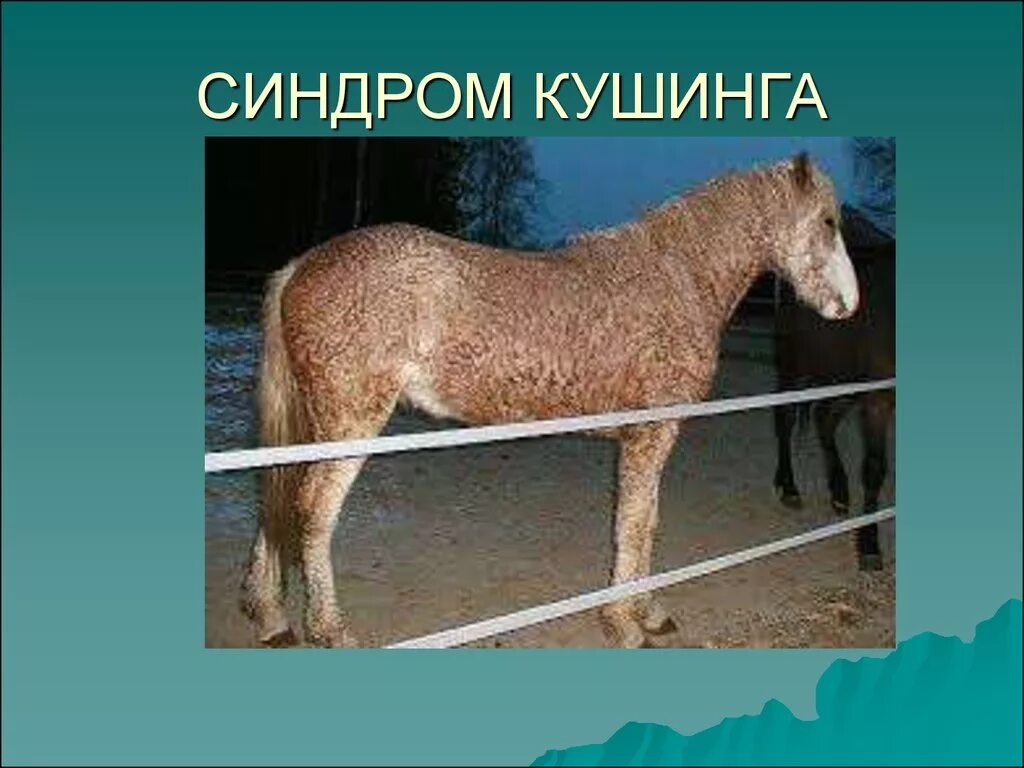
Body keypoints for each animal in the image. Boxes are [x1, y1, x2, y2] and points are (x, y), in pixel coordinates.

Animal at [241, 152, 860, 648]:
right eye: (828, 222)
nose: (850, 307)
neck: (677, 276)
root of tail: (301, 266)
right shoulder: (648, 437)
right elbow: (633, 524)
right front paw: (624, 624)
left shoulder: (654, 437)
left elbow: (648, 523)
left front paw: (648, 611)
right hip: (350, 422)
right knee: (311, 513)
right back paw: (330, 630)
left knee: (280, 503)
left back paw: (271, 616)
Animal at [772, 210, 895, 570]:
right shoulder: (878, 400)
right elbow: (874, 468)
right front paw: (869, 546)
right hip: (794, 370)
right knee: (785, 421)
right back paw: (789, 487)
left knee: (825, 418)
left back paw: (839, 492)